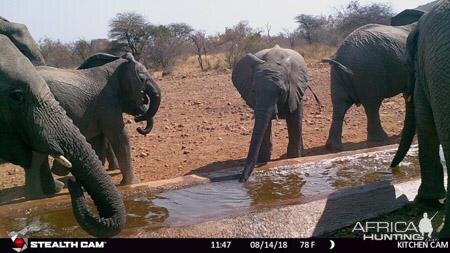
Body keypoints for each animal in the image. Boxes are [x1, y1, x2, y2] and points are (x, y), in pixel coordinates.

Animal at [37, 52, 161, 185]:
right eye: (142, 79)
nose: (138, 120)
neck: (116, 65)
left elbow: (99, 142)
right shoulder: (106, 101)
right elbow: (119, 136)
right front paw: (133, 183)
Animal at [232, 44, 310, 181]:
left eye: (280, 92)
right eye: (253, 91)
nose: (241, 180)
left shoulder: (296, 90)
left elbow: (295, 121)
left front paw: (294, 158)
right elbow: (265, 124)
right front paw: (263, 160)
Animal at [324, 0, 440, 151]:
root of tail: (340, 55)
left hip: (338, 75)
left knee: (339, 104)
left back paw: (334, 147)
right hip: (369, 71)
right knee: (372, 104)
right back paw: (380, 140)